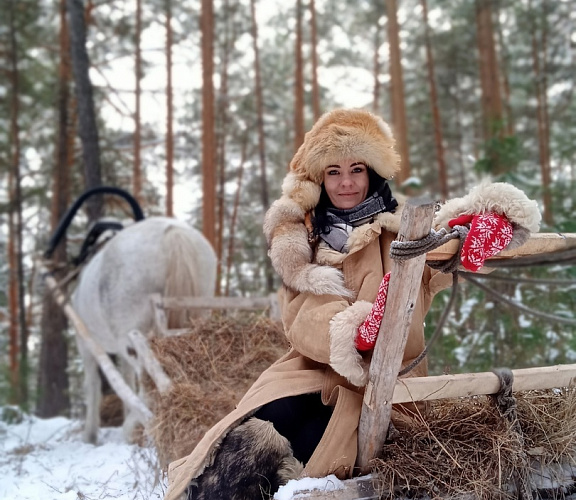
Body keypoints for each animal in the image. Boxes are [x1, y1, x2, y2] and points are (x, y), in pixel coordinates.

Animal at [70, 217, 218, 444]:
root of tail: (173, 231)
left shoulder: (85, 342)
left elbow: (93, 385)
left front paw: (90, 434)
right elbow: (127, 378)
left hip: (129, 330)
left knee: (144, 374)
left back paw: (137, 426)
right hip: (201, 306)